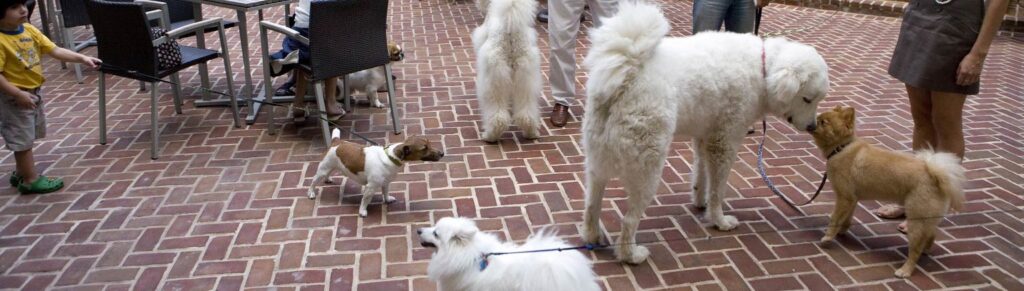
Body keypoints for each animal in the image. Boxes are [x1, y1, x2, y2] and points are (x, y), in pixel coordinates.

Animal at [473, 0, 544, 142]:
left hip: (494, 80)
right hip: (526, 77)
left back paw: (489, 136)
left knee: (498, 116)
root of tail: (510, 34)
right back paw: (531, 133)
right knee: (526, 113)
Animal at [581, 2, 827, 264]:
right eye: (807, 99)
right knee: (628, 220)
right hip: (647, 168)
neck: (763, 70)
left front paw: (701, 201)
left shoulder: (704, 138)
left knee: (591, 205)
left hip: (597, 160)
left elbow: (701, 175)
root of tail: (627, 72)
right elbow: (719, 188)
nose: (813, 127)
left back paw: (593, 236)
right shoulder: (725, 143)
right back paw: (632, 255)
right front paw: (719, 220)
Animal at [811, 106, 962, 276]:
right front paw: (842, 231)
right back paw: (925, 251)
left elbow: (834, 219)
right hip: (927, 219)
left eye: (823, 122)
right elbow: (846, 218)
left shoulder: (844, 197)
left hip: (916, 221)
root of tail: (934, 174)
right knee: (931, 235)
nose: (812, 122)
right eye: (819, 117)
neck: (841, 148)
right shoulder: (852, 199)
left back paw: (905, 270)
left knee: (915, 250)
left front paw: (828, 237)